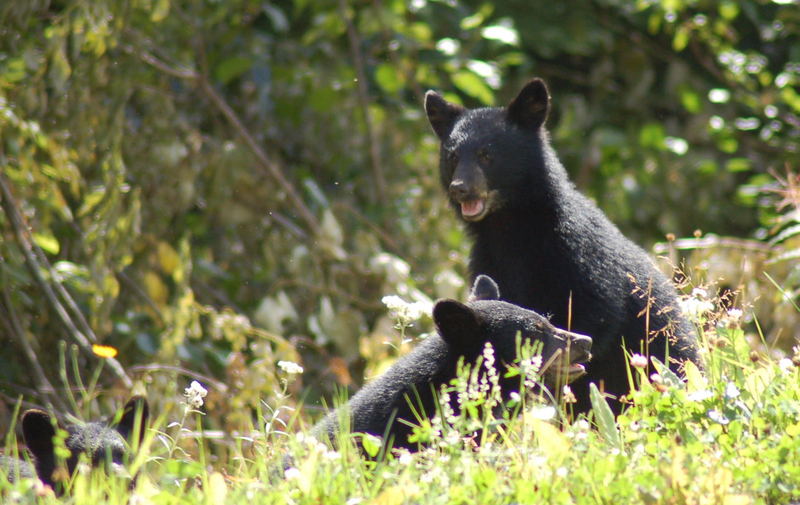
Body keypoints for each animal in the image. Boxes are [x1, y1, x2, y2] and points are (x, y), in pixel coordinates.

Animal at [424, 78, 700, 414]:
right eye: (452, 157)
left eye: (486, 154)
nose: (460, 188)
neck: (510, 226)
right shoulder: (490, 261)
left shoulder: (578, 252)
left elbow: (597, 311)